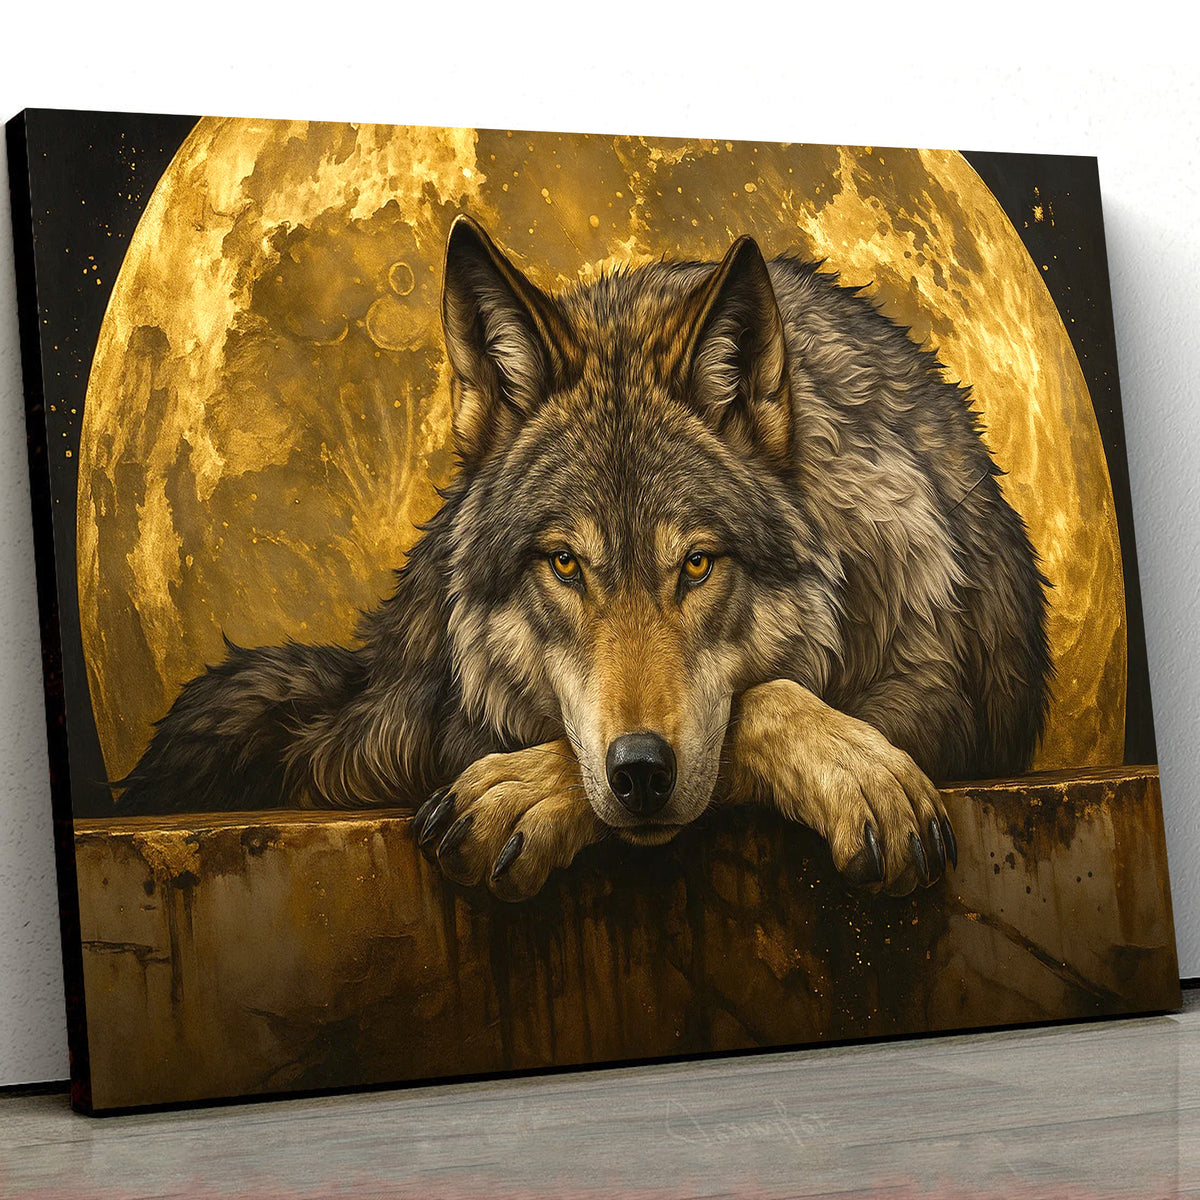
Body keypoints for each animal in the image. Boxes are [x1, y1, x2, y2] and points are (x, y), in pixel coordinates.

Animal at [117, 214, 1052, 901]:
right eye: (565, 565)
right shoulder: (398, 741)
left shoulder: (944, 691)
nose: (640, 772)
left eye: (697, 565)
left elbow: (762, 702)